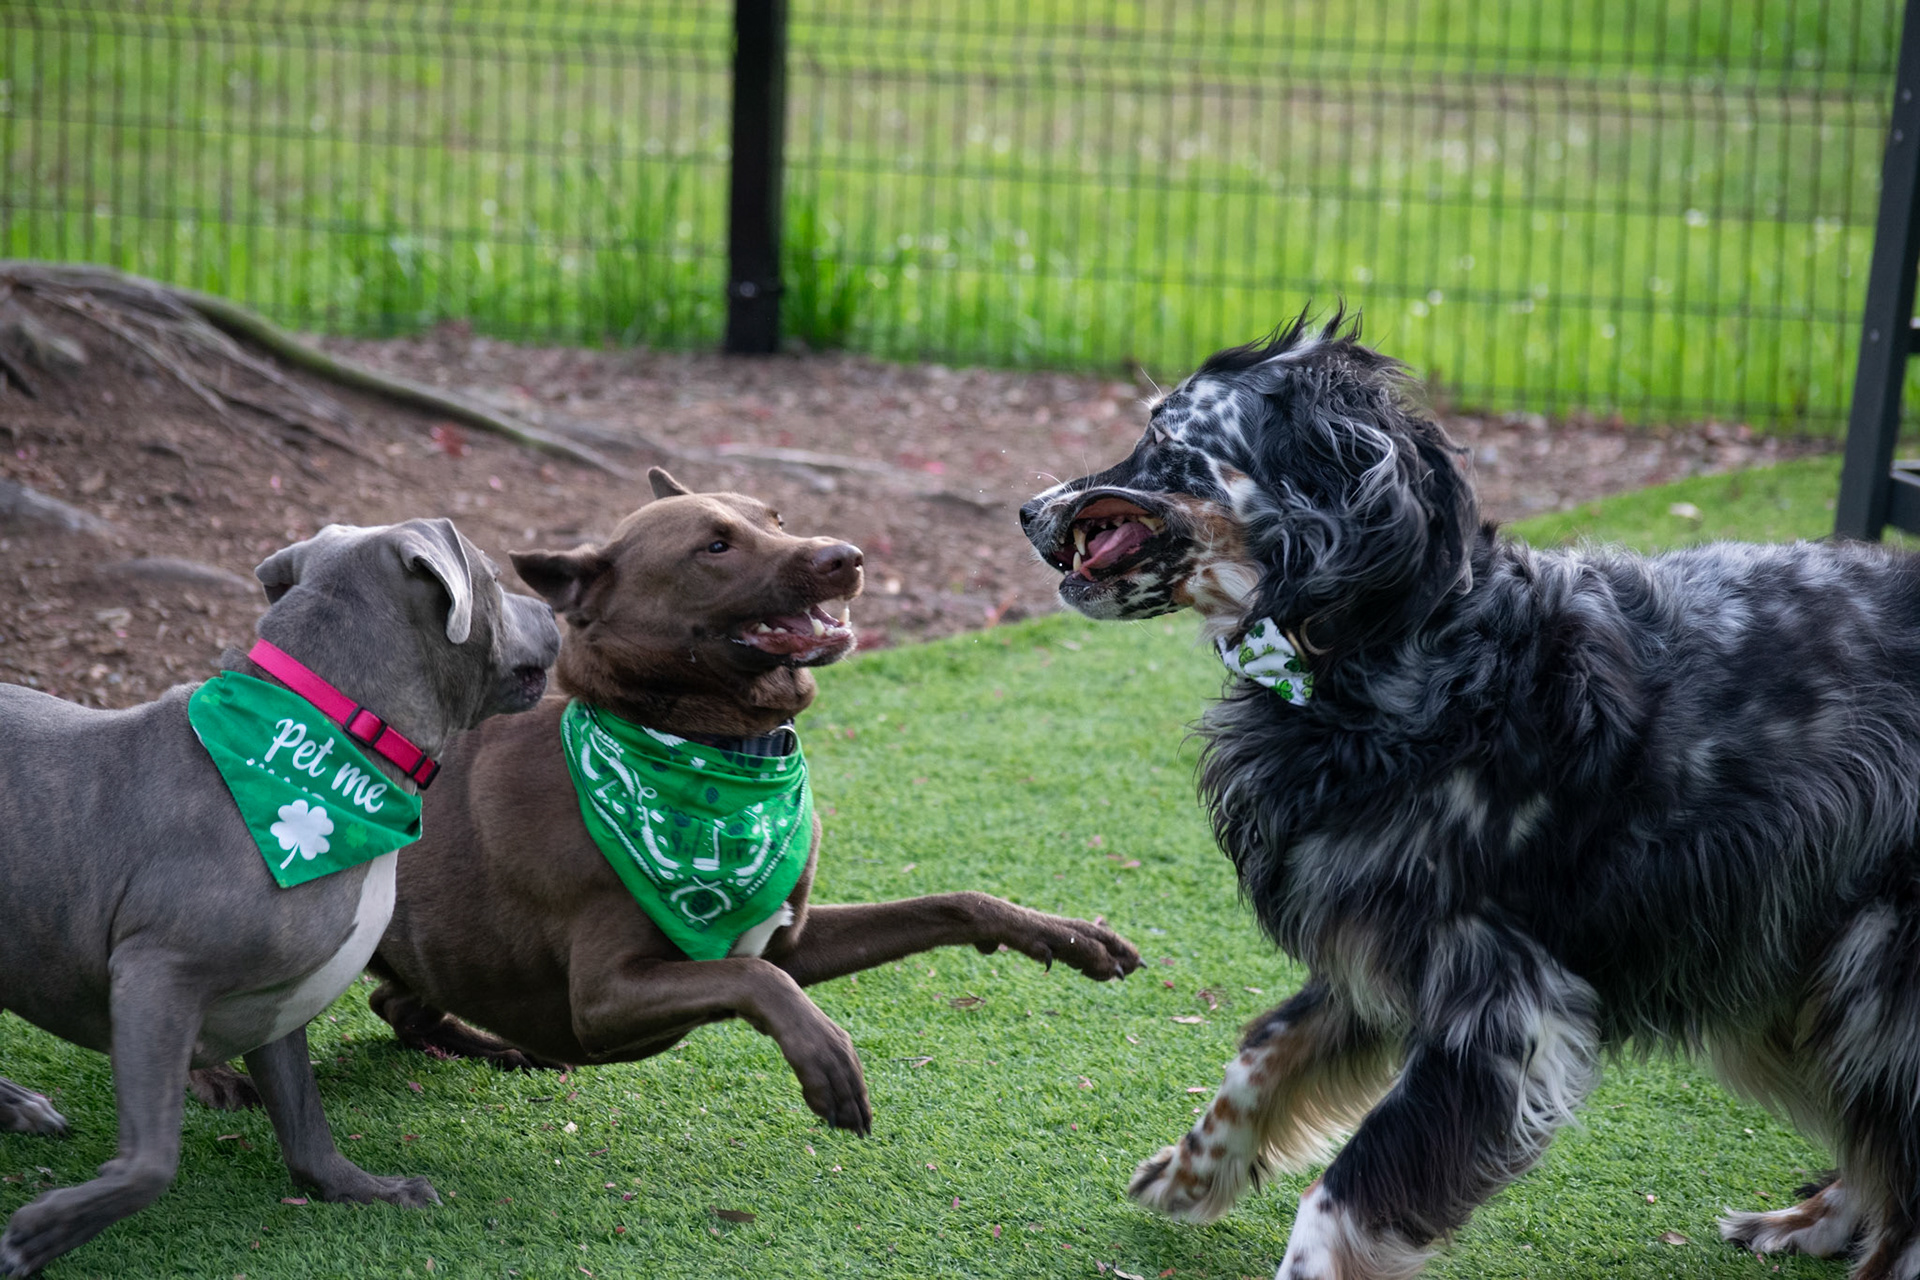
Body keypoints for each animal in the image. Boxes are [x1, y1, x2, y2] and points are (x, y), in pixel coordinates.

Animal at [0, 519, 559, 1277]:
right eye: (496, 581)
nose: (555, 610)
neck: (332, 733)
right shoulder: (155, 977)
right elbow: (151, 1161)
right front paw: (40, 1232)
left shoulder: (281, 999)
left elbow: (304, 1122)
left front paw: (364, 1190)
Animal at [1019, 311, 1920, 1280]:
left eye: (1163, 435)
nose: (1027, 512)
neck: (1401, 654)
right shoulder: (1376, 946)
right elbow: (1264, 1051)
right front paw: (1194, 1173)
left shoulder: (1508, 1008)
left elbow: (1340, 1195)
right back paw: (1808, 1222)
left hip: (1868, 982)